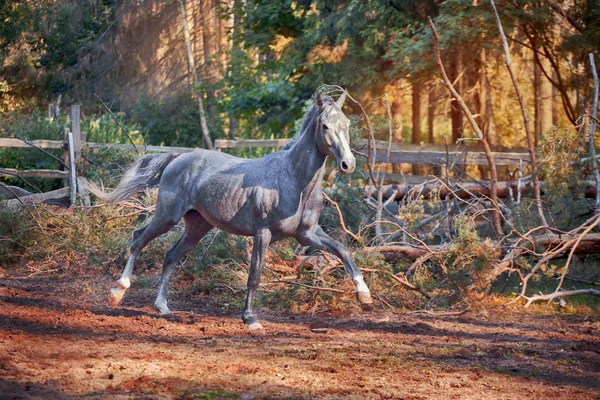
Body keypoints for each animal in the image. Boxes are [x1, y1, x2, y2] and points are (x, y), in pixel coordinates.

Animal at [86, 92, 372, 330]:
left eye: (346, 125)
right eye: (325, 126)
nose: (348, 164)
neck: (292, 180)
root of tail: (177, 158)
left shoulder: (308, 234)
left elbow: (342, 250)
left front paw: (364, 295)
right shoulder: (263, 233)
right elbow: (254, 276)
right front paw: (250, 319)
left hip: (197, 226)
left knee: (171, 256)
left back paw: (163, 308)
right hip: (167, 217)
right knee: (138, 239)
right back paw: (117, 293)